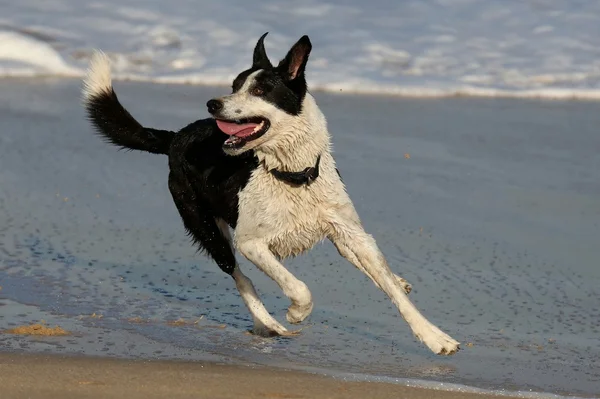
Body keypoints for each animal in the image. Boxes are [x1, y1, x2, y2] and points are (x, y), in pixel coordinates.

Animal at [82, 34, 460, 356]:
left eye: (260, 89)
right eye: (234, 86)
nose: (212, 103)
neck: (293, 176)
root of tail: (176, 137)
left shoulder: (350, 231)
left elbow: (392, 290)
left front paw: (435, 337)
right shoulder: (252, 243)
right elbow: (298, 286)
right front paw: (295, 314)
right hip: (206, 227)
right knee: (239, 275)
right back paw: (270, 324)